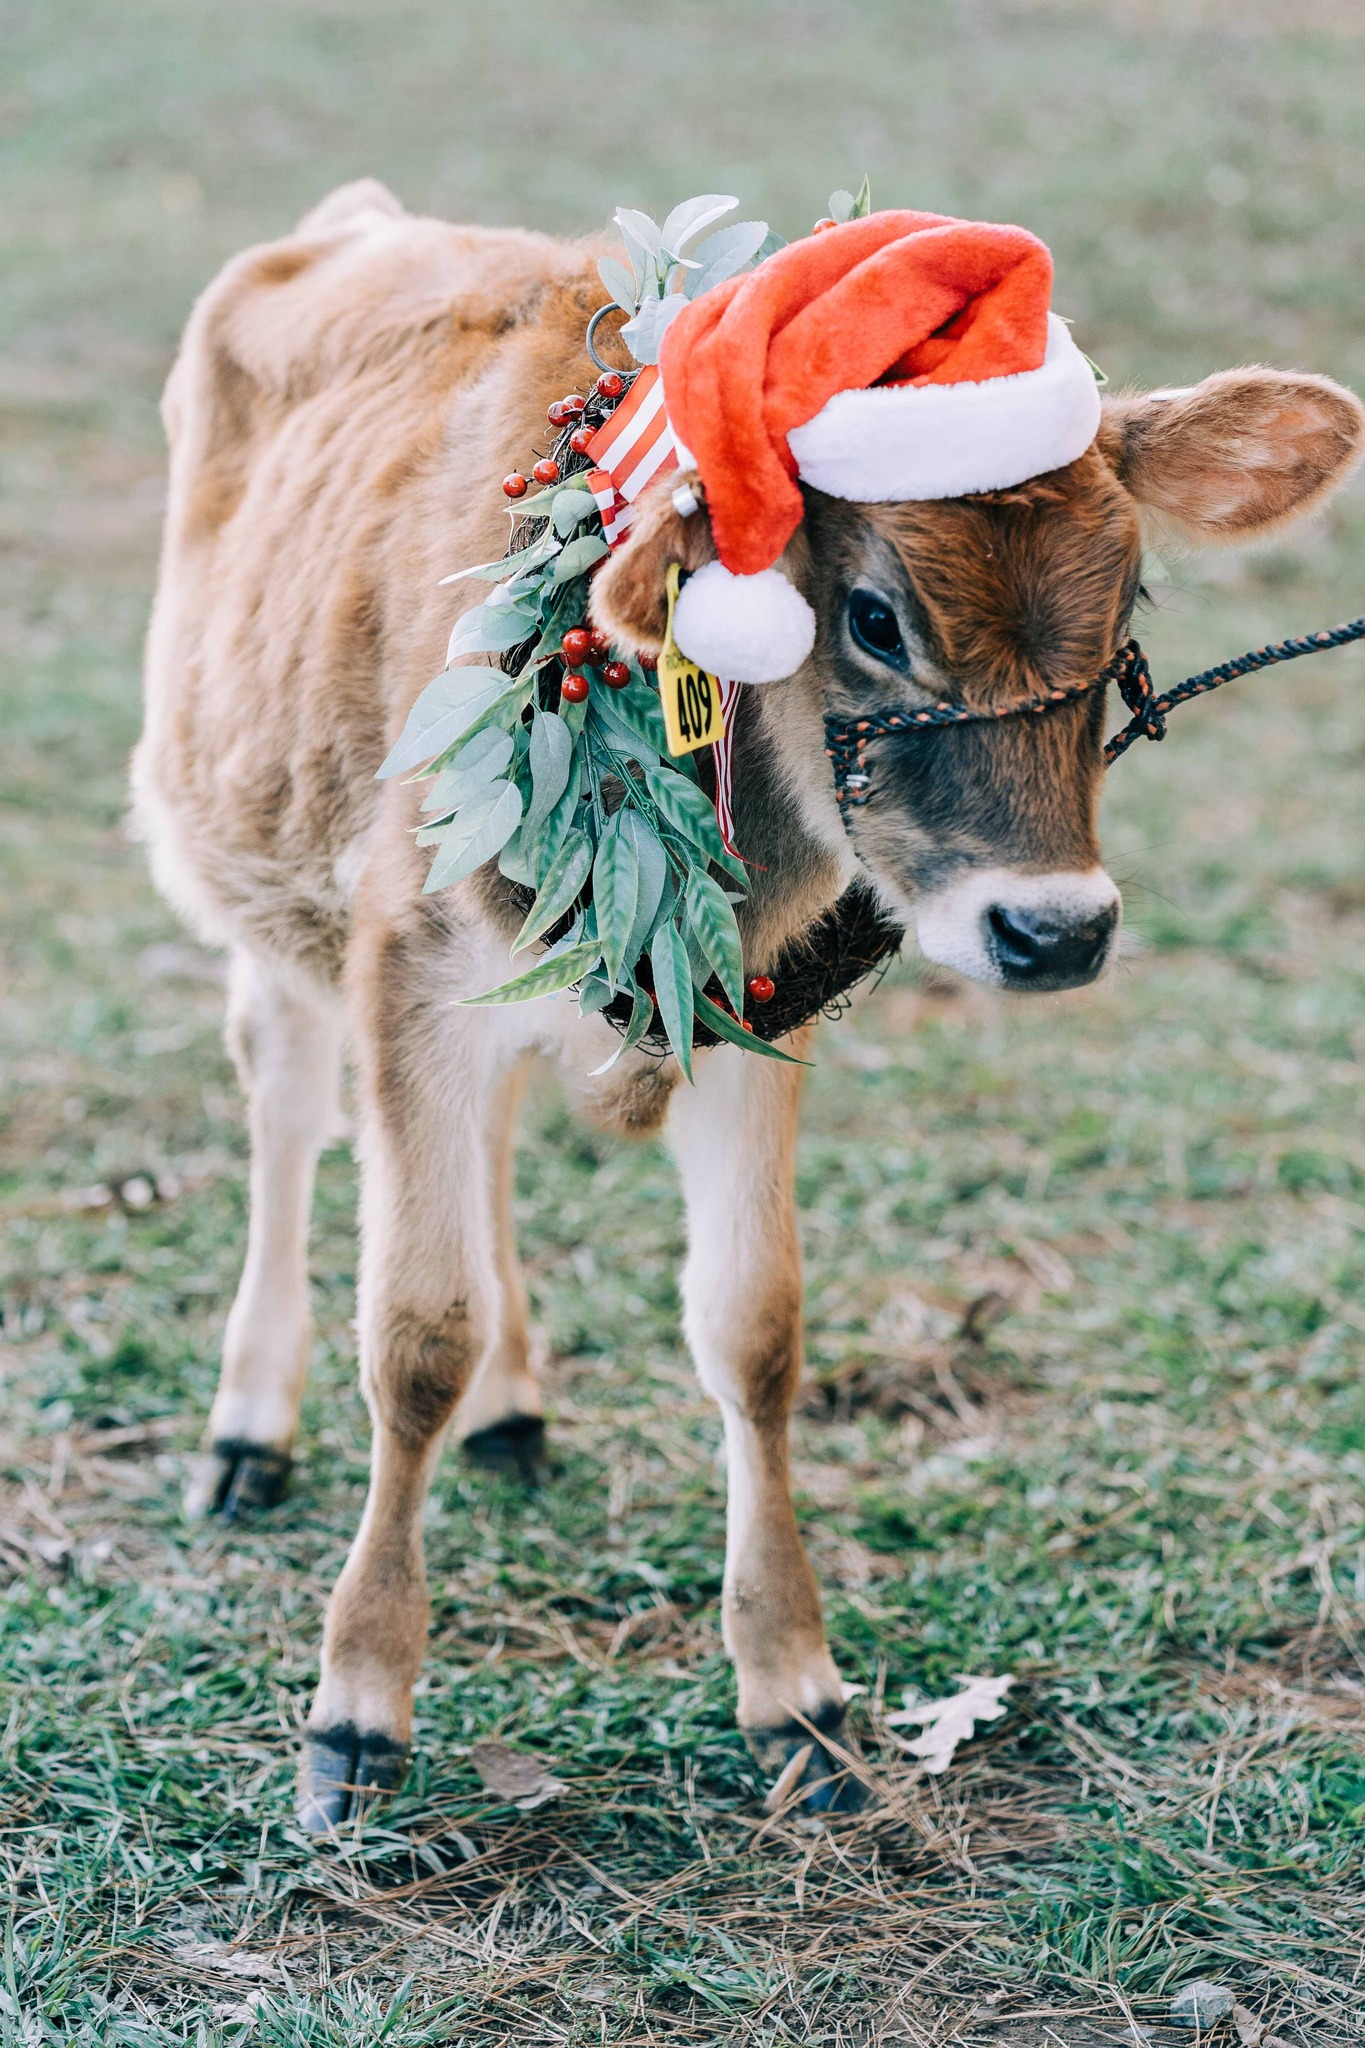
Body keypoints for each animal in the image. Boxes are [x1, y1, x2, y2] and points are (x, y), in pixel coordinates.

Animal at [132, 180, 1365, 1827]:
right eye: (874, 615)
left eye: (1129, 596)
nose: (1054, 931)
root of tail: (358, 220)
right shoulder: (412, 978)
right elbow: (412, 1334)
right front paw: (354, 1713)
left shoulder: (743, 1009)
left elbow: (753, 1328)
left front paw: (798, 1694)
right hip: (266, 884)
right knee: (281, 1108)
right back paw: (247, 1431)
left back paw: (515, 1408)